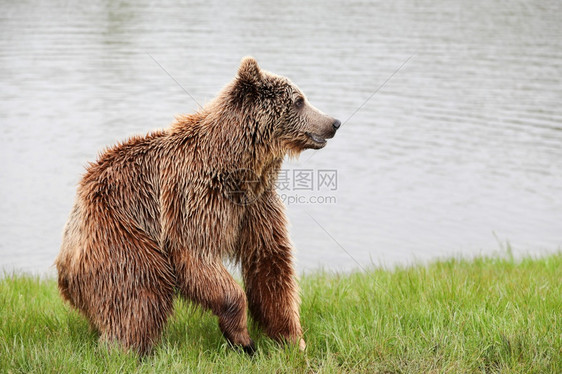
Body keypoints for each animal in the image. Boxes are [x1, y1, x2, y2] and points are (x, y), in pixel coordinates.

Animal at [54, 57, 340, 356]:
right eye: (299, 100)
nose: (334, 122)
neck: (237, 166)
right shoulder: (194, 197)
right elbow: (195, 253)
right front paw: (243, 339)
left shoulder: (256, 204)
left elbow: (270, 262)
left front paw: (292, 340)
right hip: (119, 232)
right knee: (140, 287)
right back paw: (127, 348)